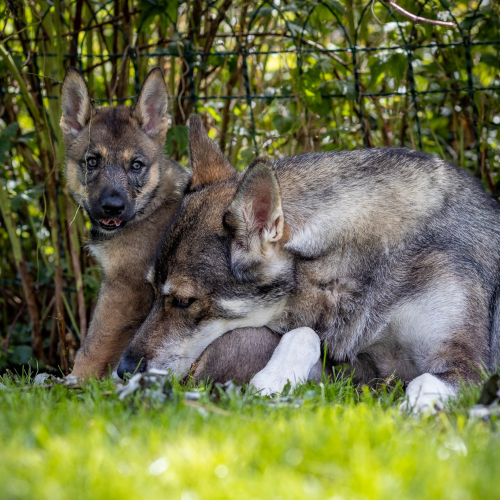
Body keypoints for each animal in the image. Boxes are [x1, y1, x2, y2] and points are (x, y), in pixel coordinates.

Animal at [120, 115, 500, 412]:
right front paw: (272, 380)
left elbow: (420, 385)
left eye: (184, 301)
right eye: (152, 290)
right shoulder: (359, 371)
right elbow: (304, 334)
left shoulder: (464, 364)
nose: (123, 370)